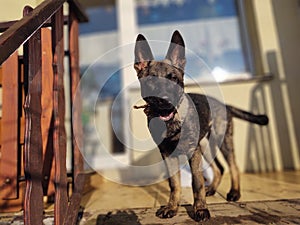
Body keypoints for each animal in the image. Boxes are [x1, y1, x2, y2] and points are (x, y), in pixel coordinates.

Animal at [134, 29, 270, 221]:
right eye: (151, 81)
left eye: (173, 79)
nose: (164, 101)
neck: (174, 121)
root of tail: (225, 105)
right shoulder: (168, 155)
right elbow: (174, 184)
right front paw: (172, 207)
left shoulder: (193, 153)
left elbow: (196, 182)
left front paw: (200, 209)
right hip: (206, 147)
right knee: (219, 168)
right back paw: (212, 189)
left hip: (222, 143)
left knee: (233, 166)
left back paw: (234, 192)